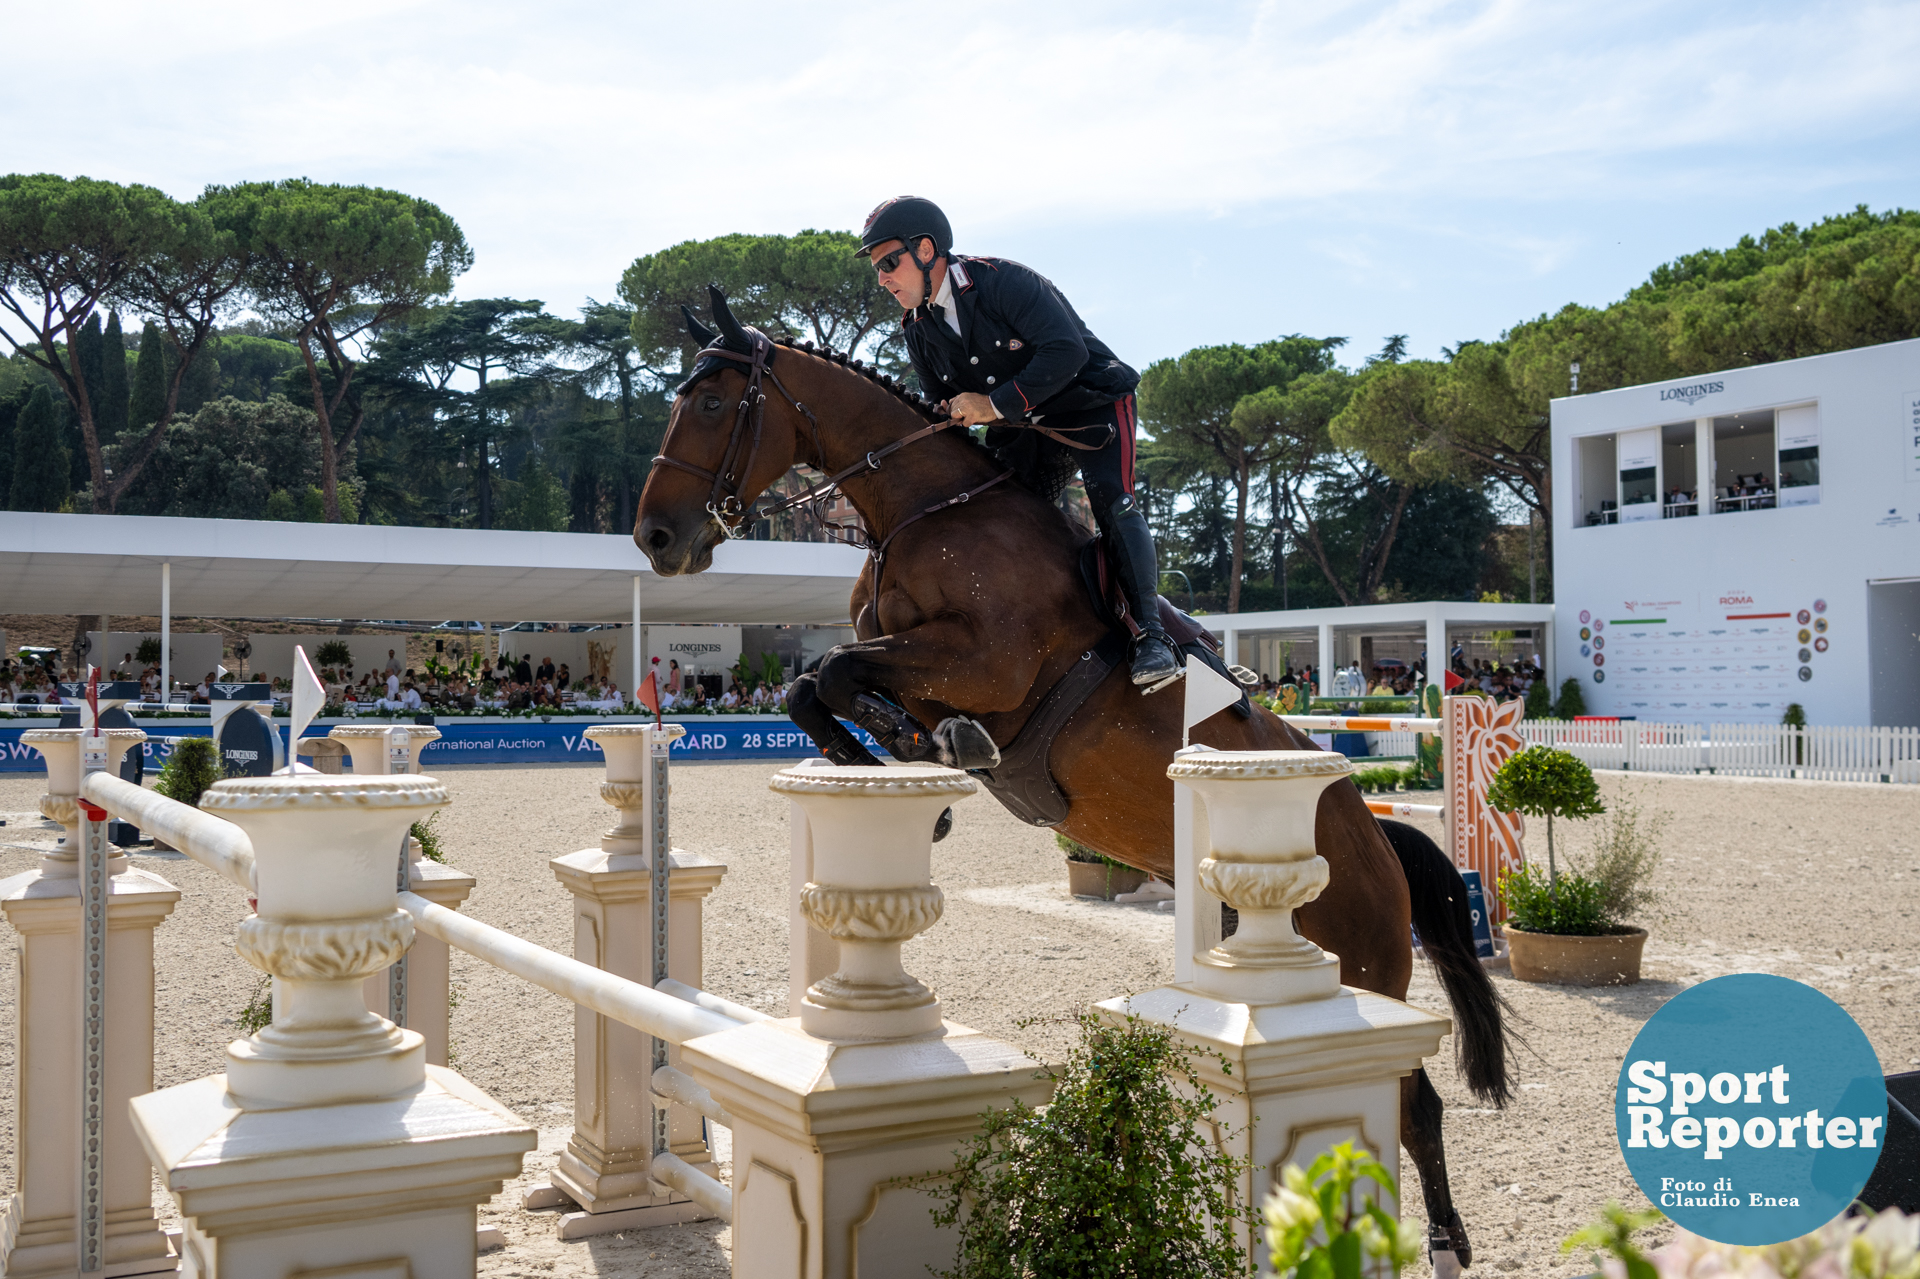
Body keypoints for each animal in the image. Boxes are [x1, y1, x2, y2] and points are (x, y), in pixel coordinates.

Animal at [637, 291, 1505, 1267]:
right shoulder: (913, 661)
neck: (922, 510)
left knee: (1412, 1100)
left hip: (1358, 961)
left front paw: (929, 748)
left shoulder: (989, 662)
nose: (656, 537)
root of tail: (1381, 840)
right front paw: (908, 763)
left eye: (714, 403)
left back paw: (1442, 1241)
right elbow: (813, 683)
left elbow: (834, 671)